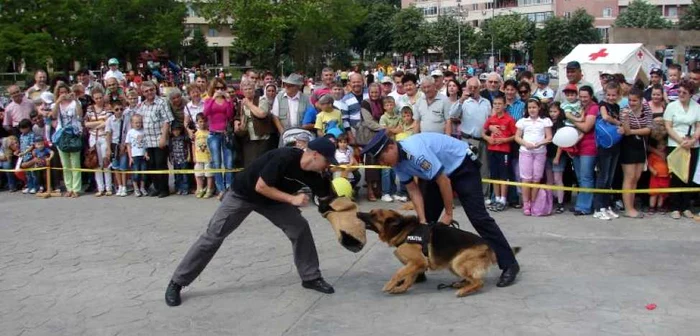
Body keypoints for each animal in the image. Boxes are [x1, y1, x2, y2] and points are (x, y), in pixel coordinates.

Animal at [358, 210, 516, 296]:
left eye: (373, 215)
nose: (358, 213)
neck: (404, 230)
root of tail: (488, 246)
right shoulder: (416, 264)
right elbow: (408, 278)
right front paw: (401, 288)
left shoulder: (418, 261)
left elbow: (399, 273)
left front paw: (390, 285)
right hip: (453, 264)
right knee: (472, 278)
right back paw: (461, 284)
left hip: (457, 262)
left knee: (479, 282)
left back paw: (463, 291)